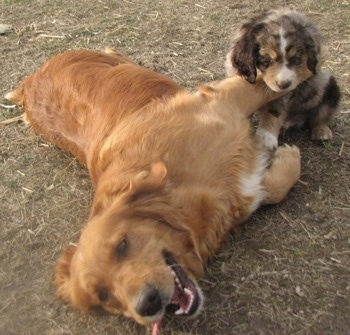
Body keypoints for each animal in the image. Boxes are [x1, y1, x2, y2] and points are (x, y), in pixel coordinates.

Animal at [5, 48, 300, 334]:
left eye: (122, 245)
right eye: (104, 296)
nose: (147, 304)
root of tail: (28, 82)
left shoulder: (226, 100)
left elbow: (273, 86)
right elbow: (269, 189)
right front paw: (286, 159)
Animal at [226, 8, 340, 150]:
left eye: (296, 58)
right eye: (266, 60)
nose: (284, 84)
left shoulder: (285, 92)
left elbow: (274, 110)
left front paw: (265, 137)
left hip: (329, 86)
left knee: (322, 115)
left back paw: (321, 132)